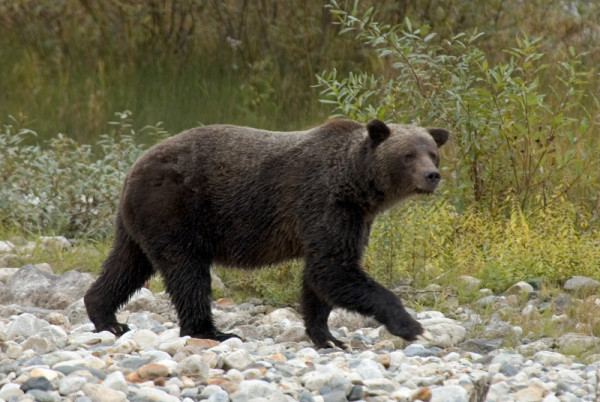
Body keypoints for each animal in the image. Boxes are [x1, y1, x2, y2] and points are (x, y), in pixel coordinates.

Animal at [85, 119, 450, 348]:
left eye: (432, 152)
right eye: (408, 155)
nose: (432, 175)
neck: (355, 185)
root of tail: (133, 166)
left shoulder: (352, 219)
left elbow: (320, 276)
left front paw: (327, 336)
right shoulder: (323, 203)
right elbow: (333, 270)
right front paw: (412, 327)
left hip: (140, 221)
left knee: (128, 265)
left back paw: (107, 317)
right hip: (176, 209)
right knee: (187, 273)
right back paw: (212, 331)